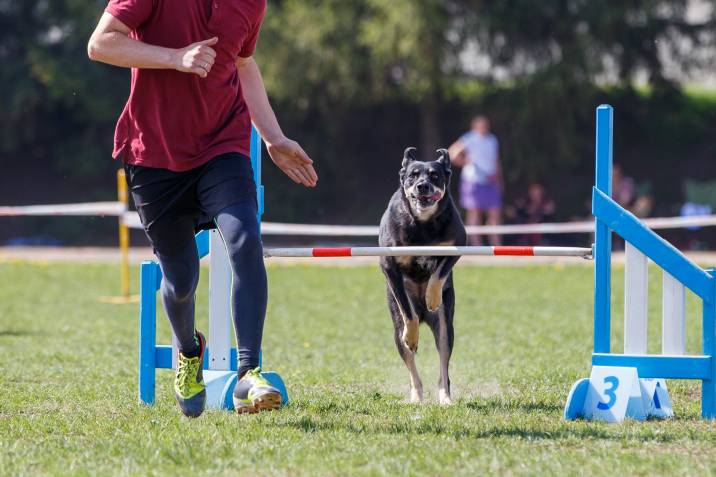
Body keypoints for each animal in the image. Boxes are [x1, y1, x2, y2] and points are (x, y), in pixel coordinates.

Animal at [378, 147, 468, 404]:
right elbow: (408, 313)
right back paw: (416, 397)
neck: (423, 224)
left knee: (443, 368)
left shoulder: (458, 244)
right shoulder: (388, 265)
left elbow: (439, 273)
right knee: (412, 370)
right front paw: (412, 335)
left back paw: (445, 398)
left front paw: (431, 297)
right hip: (396, 334)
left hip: (446, 328)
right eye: (413, 175)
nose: (422, 186)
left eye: (435, 175)